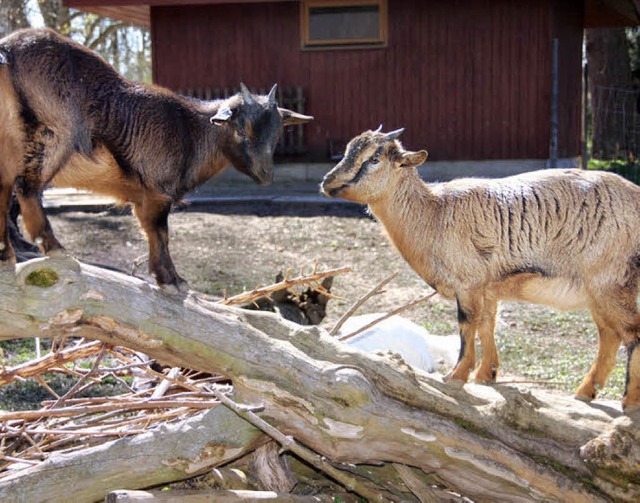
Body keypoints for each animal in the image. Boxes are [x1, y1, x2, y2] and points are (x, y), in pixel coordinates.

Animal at [0, 29, 312, 292]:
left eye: (277, 134)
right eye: (240, 129)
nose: (265, 174)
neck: (192, 131)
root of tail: (8, 50)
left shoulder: (143, 196)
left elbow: (153, 234)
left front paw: (166, 278)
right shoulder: (157, 190)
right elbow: (160, 234)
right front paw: (172, 280)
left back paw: (6, 256)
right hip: (53, 134)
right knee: (26, 186)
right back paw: (54, 247)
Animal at [320, 127, 640, 414]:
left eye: (374, 158)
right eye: (348, 150)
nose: (327, 181)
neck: (434, 214)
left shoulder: (468, 282)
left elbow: (467, 325)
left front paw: (456, 375)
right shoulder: (488, 287)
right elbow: (487, 324)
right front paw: (486, 375)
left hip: (610, 283)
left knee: (631, 333)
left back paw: (628, 401)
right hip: (600, 292)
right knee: (609, 336)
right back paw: (585, 392)